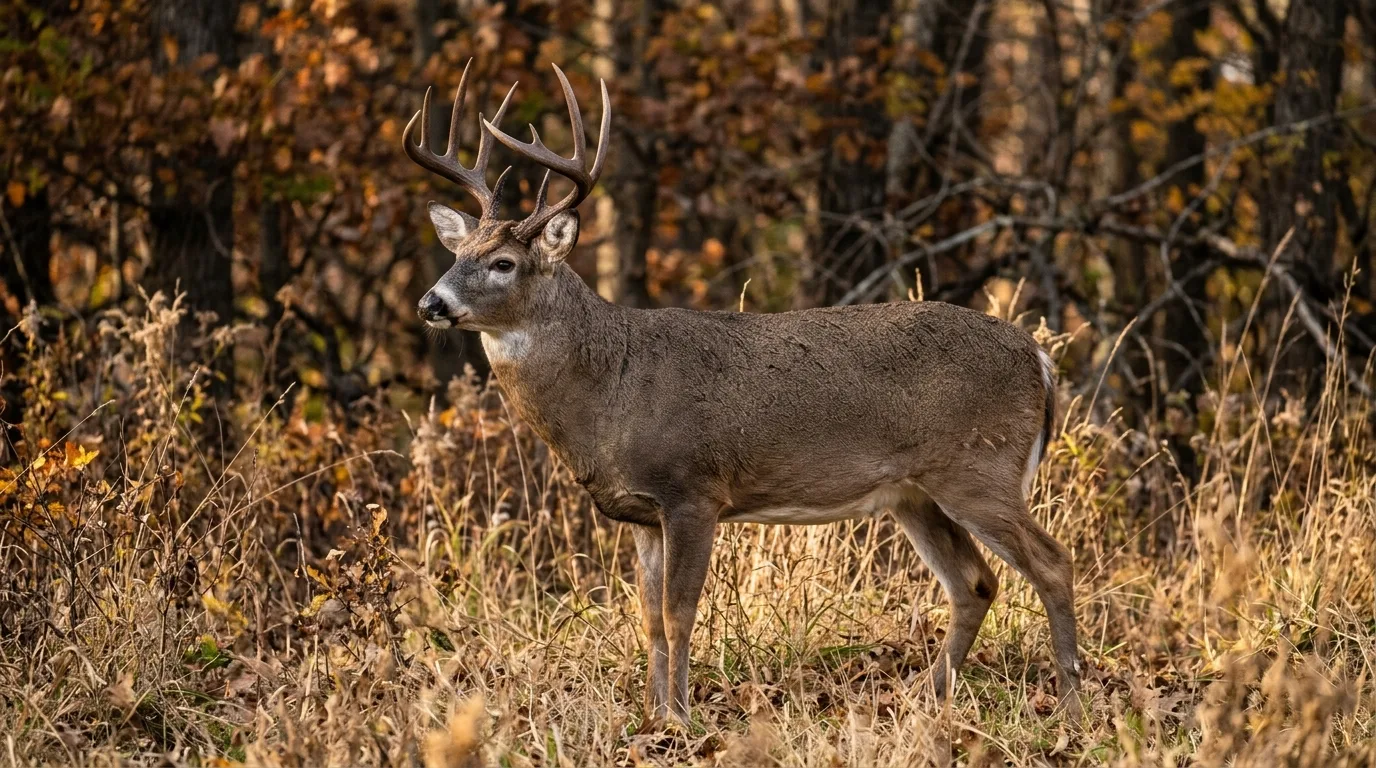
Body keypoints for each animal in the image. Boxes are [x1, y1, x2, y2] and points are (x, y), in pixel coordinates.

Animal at [406, 61, 1082, 728]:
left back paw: (1072, 703)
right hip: (915, 493)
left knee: (1051, 562)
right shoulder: (641, 513)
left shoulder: (693, 489)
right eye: (458, 253)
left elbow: (678, 614)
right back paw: (926, 700)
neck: (609, 390)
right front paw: (653, 717)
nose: (431, 302)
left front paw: (681, 721)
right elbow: (649, 620)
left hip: (979, 467)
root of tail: (1039, 357)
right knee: (974, 583)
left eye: (503, 263)